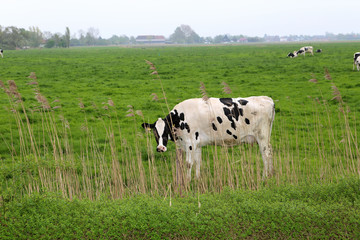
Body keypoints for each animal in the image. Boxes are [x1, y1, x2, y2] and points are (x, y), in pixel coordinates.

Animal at [141, 96, 276, 181]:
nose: (160, 148)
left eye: (166, 130)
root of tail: (266, 98)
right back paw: (270, 175)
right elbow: (198, 161)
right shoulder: (196, 144)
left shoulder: (190, 143)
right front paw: (197, 179)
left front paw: (188, 181)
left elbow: (188, 163)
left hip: (262, 136)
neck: (180, 118)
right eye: (155, 133)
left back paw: (264, 177)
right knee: (269, 152)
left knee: (266, 155)